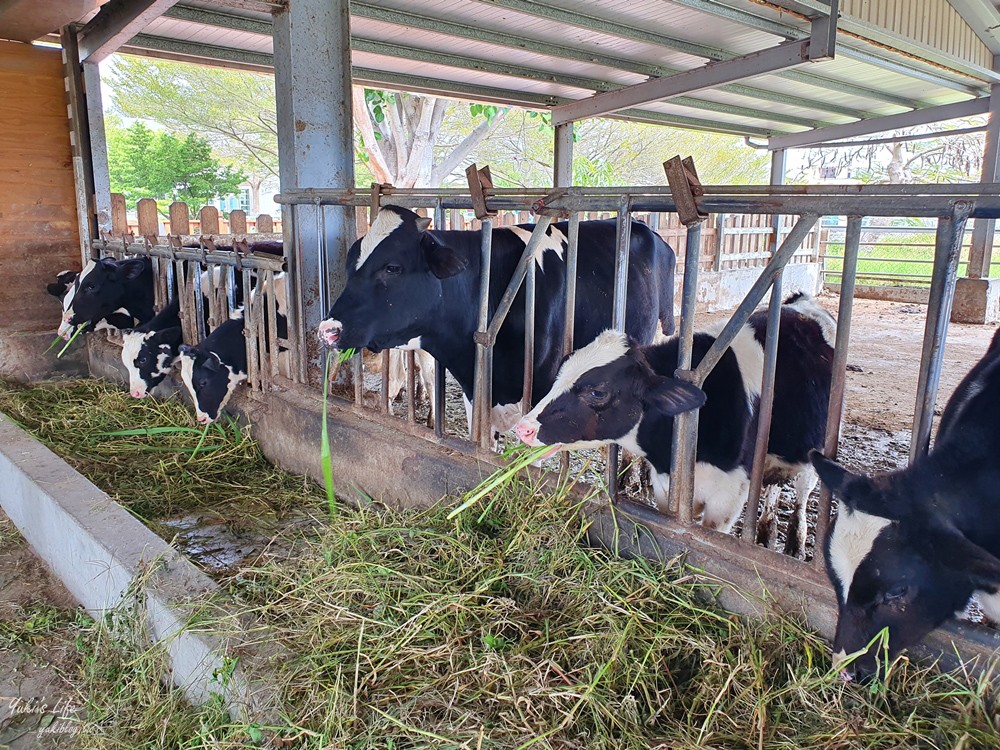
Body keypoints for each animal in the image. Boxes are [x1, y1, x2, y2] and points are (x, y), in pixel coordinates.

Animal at [516, 292, 836, 548]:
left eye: (597, 392)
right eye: (560, 373)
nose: (524, 428)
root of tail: (803, 302)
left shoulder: (728, 496)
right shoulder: (664, 486)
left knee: (802, 491)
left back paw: (794, 543)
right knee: (772, 484)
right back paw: (767, 532)